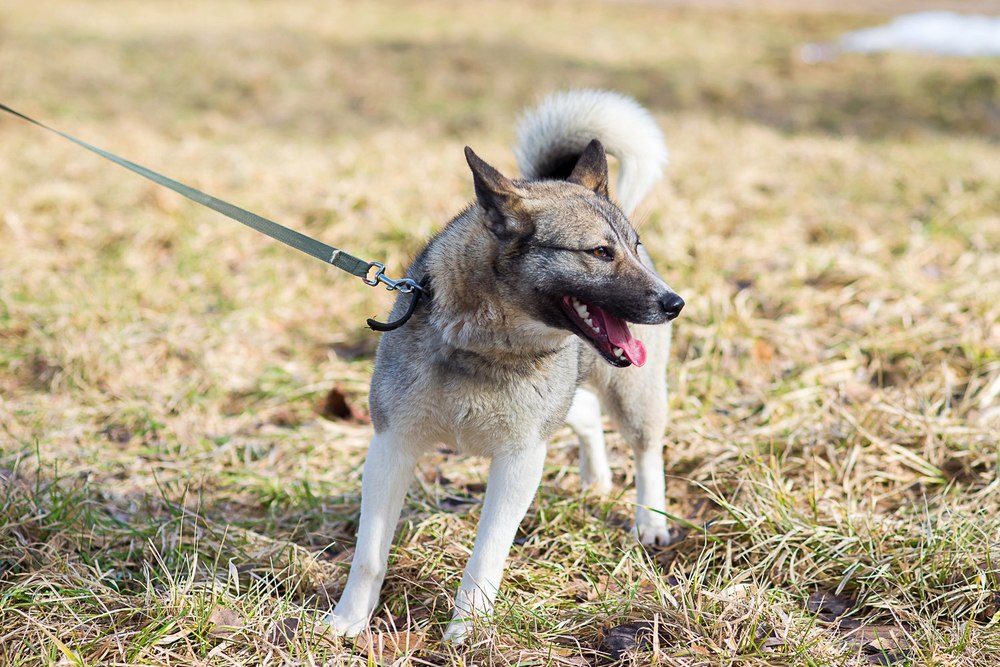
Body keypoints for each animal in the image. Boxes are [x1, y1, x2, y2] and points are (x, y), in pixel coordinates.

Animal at [324, 88, 684, 640]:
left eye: (635, 248)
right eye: (601, 252)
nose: (674, 303)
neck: (485, 342)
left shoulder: (519, 460)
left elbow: (486, 554)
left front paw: (467, 630)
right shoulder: (392, 446)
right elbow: (369, 554)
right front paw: (349, 620)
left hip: (633, 395)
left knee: (646, 450)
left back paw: (650, 521)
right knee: (582, 414)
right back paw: (595, 478)